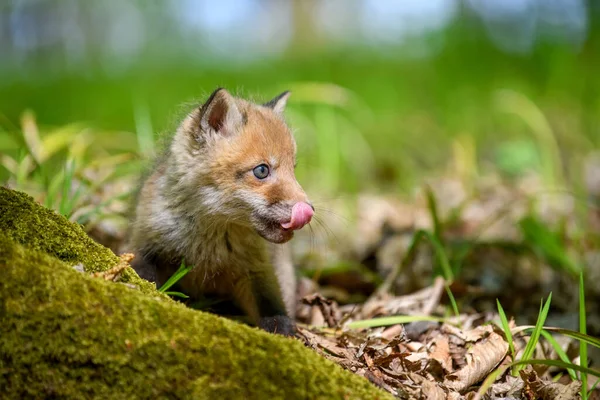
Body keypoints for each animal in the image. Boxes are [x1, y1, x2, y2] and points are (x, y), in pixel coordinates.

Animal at [127, 89, 314, 336]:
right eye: (262, 171)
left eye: (293, 169)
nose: (309, 210)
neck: (208, 244)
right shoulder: (146, 246)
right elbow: (145, 278)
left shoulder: (256, 269)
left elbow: (271, 305)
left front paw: (283, 330)